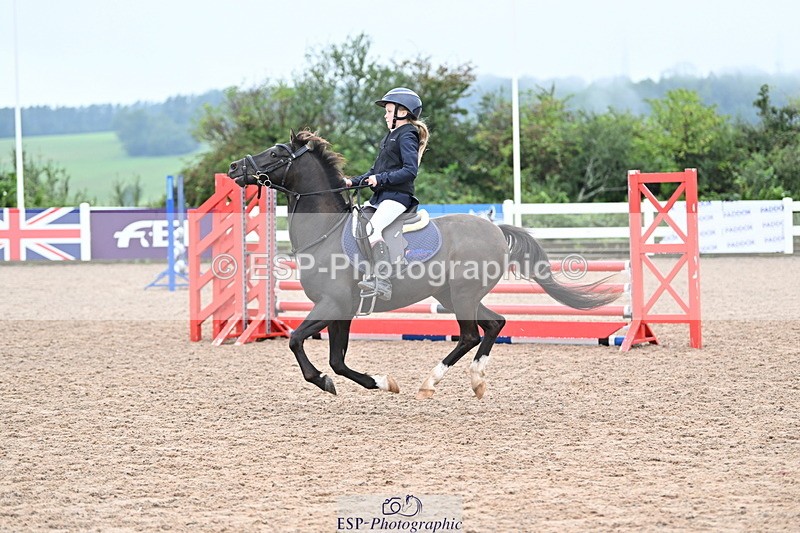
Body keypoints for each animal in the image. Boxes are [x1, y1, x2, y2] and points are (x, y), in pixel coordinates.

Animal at [227, 130, 618, 399]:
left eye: (276, 152)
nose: (233, 167)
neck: (326, 233)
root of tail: (494, 228)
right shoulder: (342, 310)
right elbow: (337, 360)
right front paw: (380, 382)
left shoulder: (332, 305)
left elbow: (296, 341)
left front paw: (326, 382)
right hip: (455, 295)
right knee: (495, 324)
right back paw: (475, 380)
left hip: (462, 295)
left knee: (470, 334)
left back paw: (431, 382)